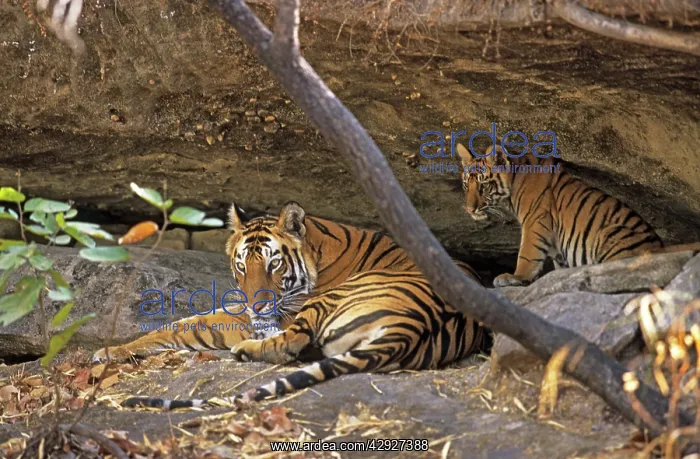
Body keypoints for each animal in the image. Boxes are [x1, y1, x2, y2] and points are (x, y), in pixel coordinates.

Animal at [103, 201, 489, 409]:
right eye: (242, 265)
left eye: (273, 263)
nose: (256, 306)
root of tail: (408, 328)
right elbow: (183, 324)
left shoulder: (274, 315)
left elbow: (192, 325)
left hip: (325, 303)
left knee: (289, 345)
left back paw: (246, 351)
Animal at [455, 142, 667, 288]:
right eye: (466, 185)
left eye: (483, 186)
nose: (469, 210)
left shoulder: (535, 221)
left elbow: (527, 254)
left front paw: (514, 277)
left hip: (611, 234)